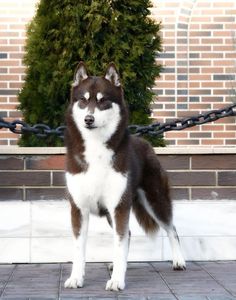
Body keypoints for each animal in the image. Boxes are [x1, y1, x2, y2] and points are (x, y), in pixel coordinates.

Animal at [63, 62, 185, 290]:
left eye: (103, 101)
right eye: (83, 100)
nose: (88, 119)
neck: (96, 148)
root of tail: (146, 143)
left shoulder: (118, 206)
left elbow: (120, 244)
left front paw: (117, 280)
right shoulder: (79, 208)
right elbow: (79, 248)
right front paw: (76, 277)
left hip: (155, 200)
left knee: (171, 228)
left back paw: (179, 260)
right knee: (127, 234)